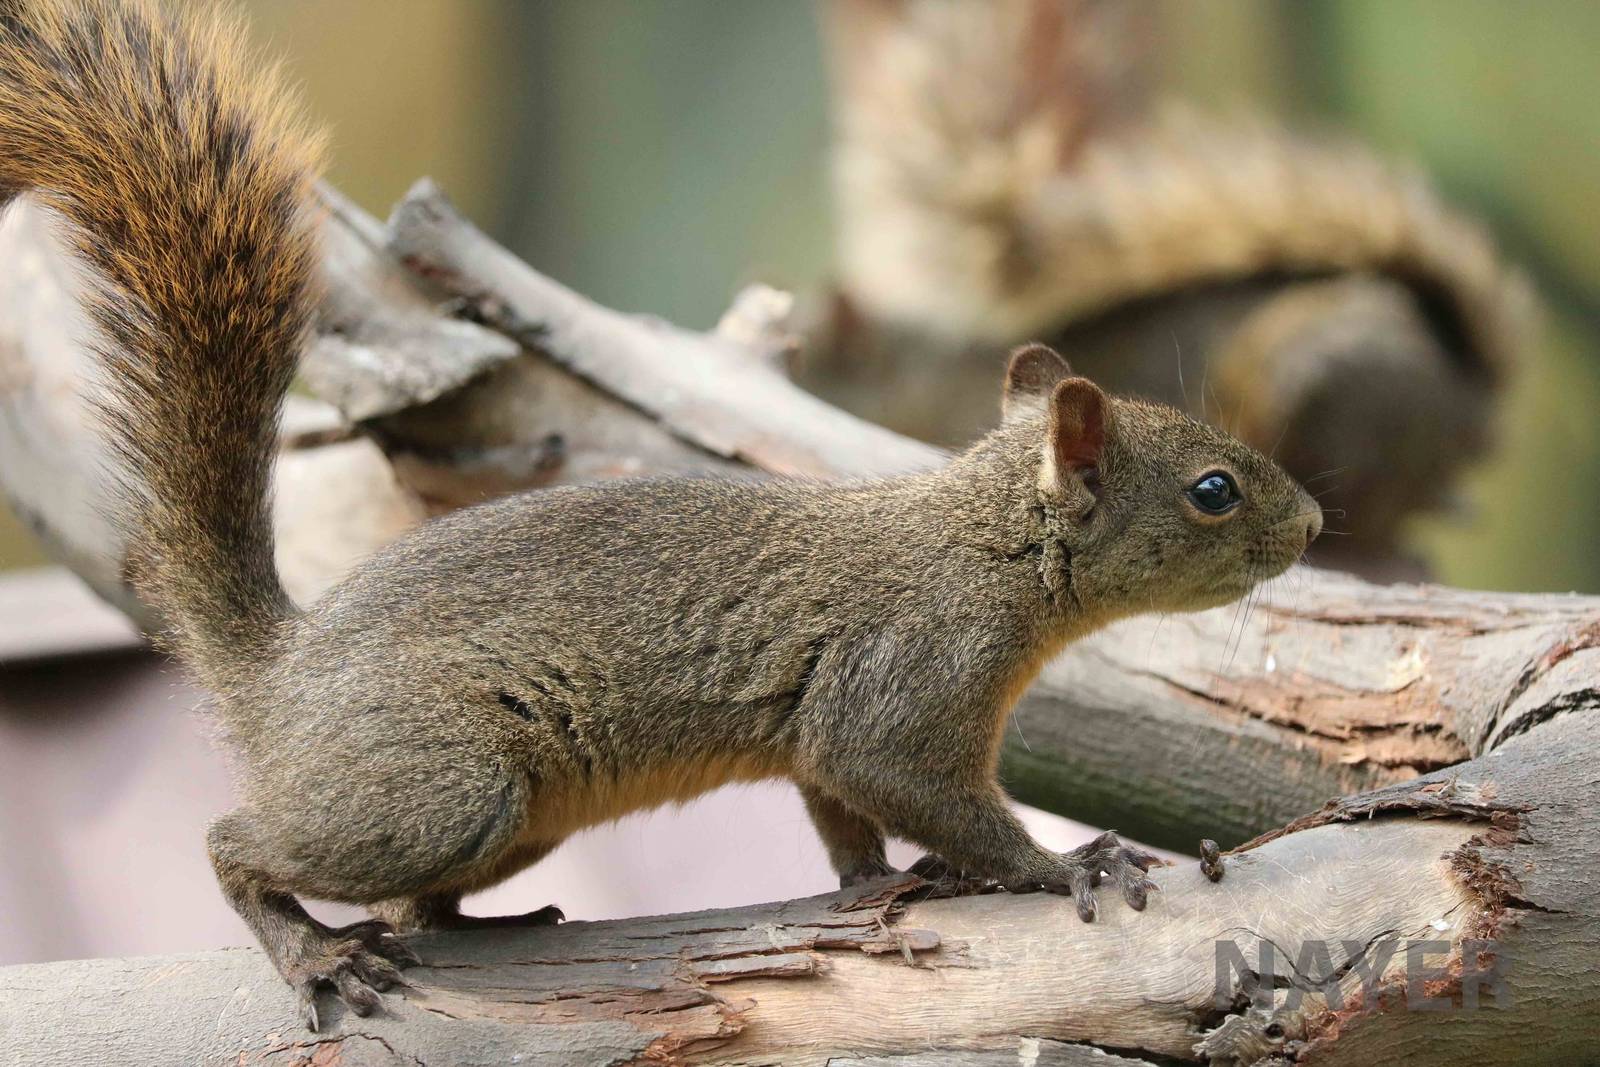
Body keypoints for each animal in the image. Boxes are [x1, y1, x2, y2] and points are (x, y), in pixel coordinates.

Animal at [0, 0, 1321, 1031]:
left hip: (497, 819)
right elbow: (907, 782)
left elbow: (840, 811)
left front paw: (883, 881)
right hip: (435, 787)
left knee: (411, 896)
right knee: (239, 843)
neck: (985, 545)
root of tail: (279, 677)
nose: (1311, 523)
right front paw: (1059, 862)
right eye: (1212, 490)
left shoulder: (828, 731)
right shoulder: (905, 679)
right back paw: (310, 946)